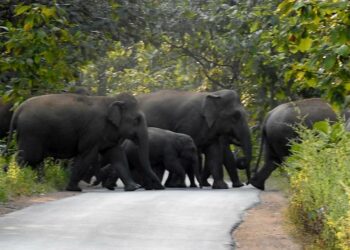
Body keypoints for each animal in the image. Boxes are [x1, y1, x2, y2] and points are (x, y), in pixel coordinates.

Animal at [6, 93, 163, 190]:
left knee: (34, 159)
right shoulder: (92, 132)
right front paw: (73, 189)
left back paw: (37, 182)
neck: (111, 100)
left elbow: (118, 156)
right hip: (31, 133)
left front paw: (132, 188)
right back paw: (19, 180)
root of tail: (18, 109)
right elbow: (87, 156)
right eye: (136, 119)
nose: (160, 187)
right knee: (27, 157)